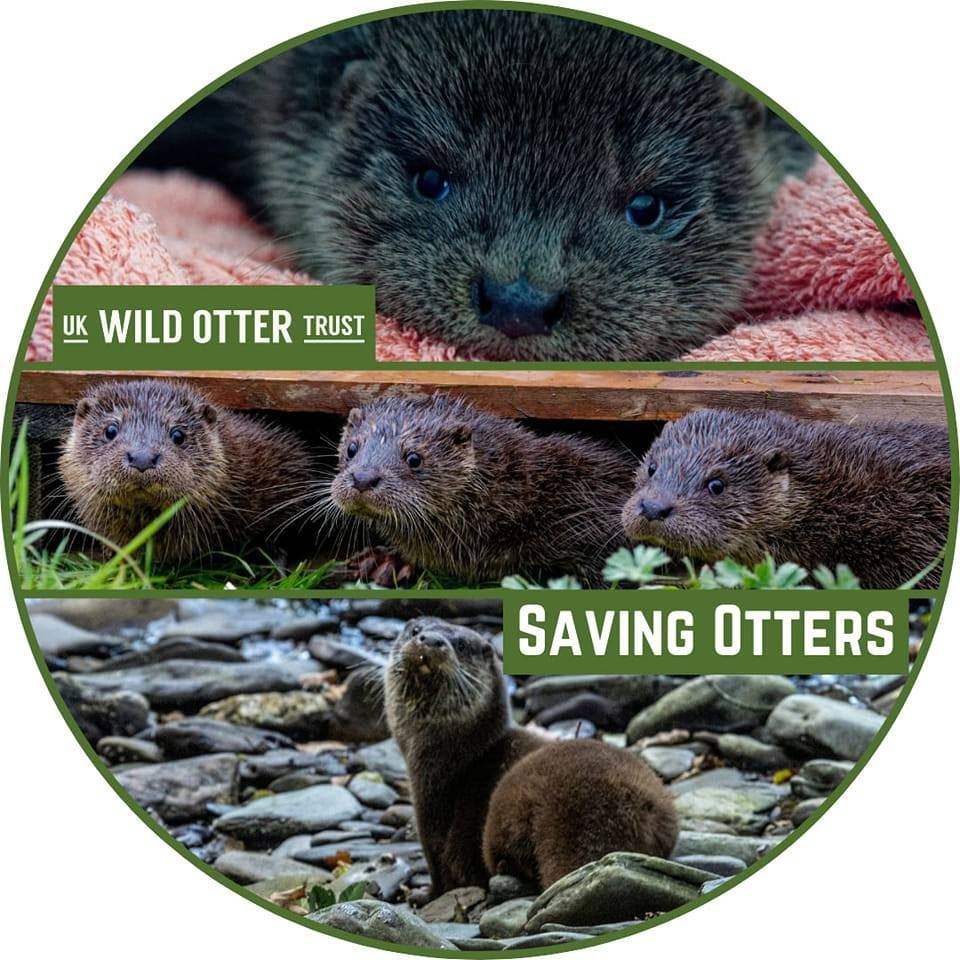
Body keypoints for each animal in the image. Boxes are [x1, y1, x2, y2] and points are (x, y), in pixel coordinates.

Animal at [384, 617, 678, 896]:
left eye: (462, 645)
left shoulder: (432, 822)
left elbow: (442, 876)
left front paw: (422, 895)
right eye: (415, 631)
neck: (458, 757)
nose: (431, 640)